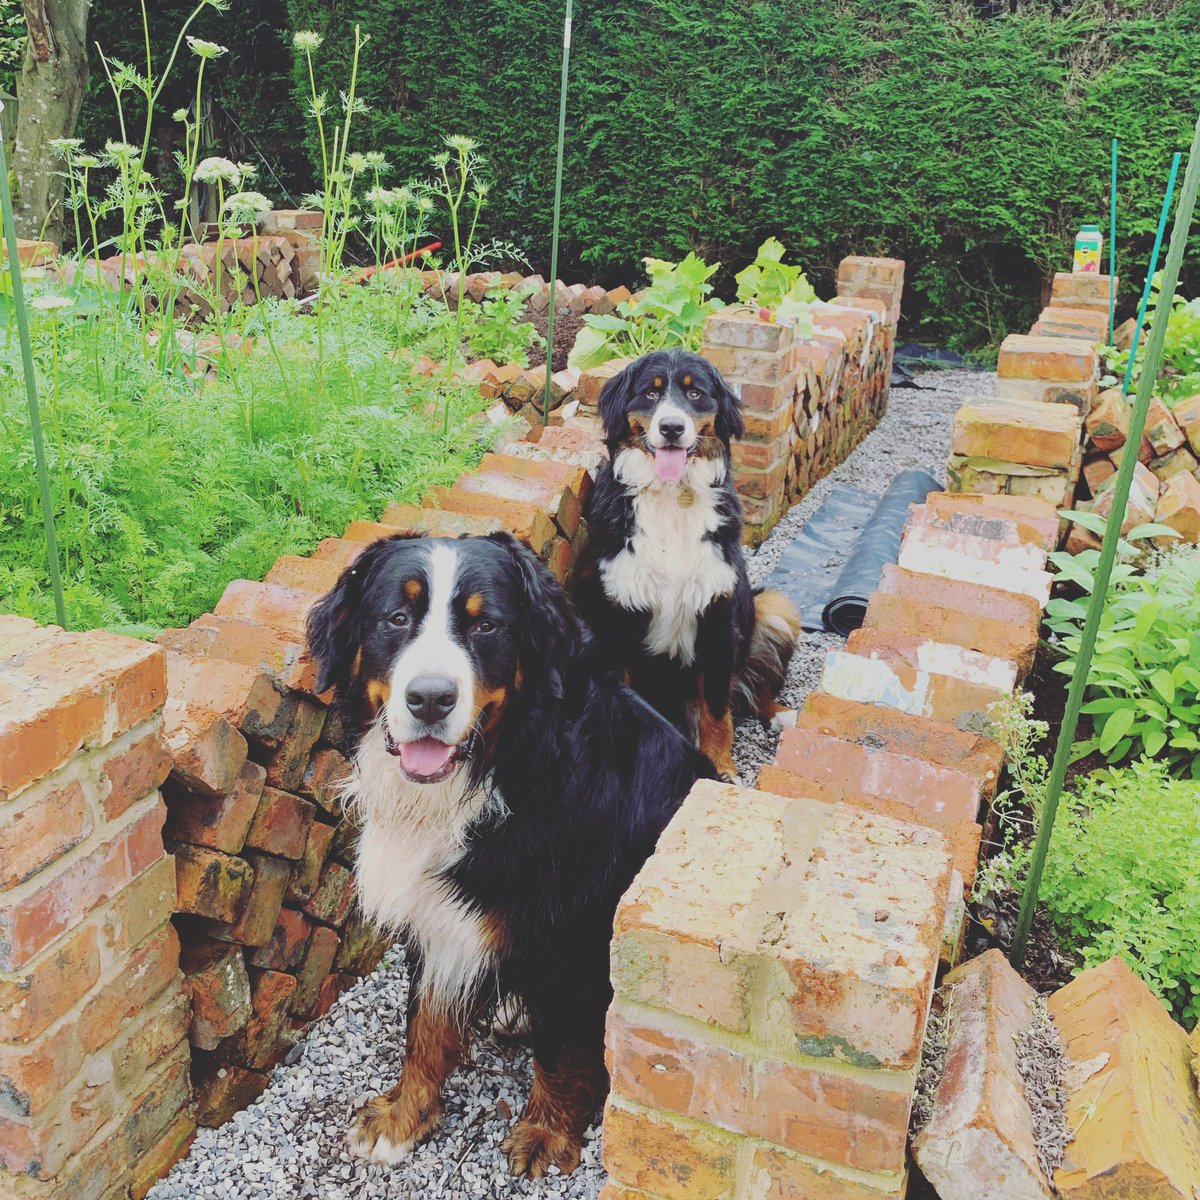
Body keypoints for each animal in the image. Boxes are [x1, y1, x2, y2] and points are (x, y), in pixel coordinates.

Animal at [304, 535, 710, 1180]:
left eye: (486, 625)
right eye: (397, 618)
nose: (430, 699)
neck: (505, 773)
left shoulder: (570, 939)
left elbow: (560, 1051)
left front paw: (546, 1133)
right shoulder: (438, 917)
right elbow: (424, 1025)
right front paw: (402, 1119)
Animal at [578, 348, 801, 777]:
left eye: (695, 393)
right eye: (650, 392)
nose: (671, 428)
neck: (671, 495)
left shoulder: (716, 616)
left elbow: (715, 707)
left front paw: (722, 769)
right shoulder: (617, 620)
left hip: (775, 606)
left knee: (751, 690)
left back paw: (782, 714)